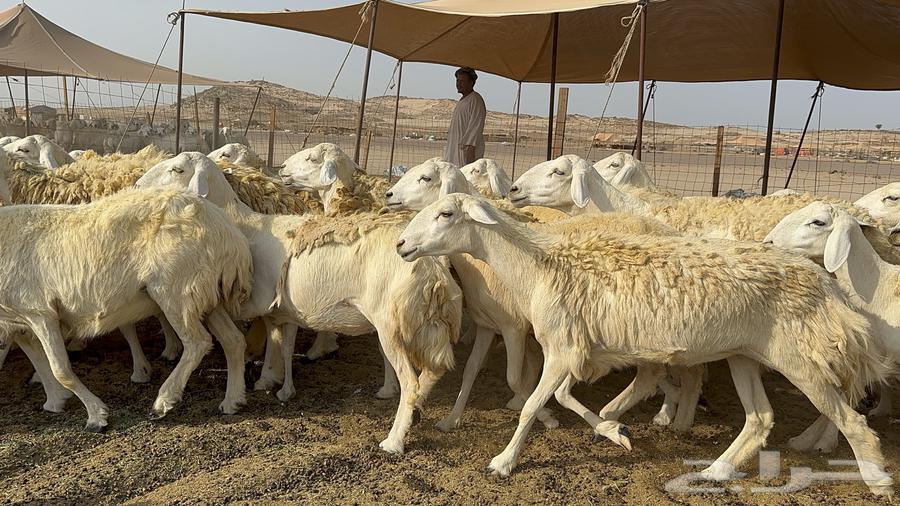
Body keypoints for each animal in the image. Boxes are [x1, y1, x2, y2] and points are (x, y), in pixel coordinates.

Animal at [0, 188, 253, 430]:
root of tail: (228, 233)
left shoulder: (39, 312)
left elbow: (60, 370)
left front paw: (97, 416)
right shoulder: (19, 322)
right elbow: (40, 362)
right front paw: (55, 401)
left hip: (176, 290)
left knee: (197, 342)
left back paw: (163, 401)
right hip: (206, 294)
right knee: (233, 340)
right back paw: (232, 401)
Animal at [135, 153, 463, 453]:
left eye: (177, 169)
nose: (137, 185)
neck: (246, 225)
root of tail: (432, 271)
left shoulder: (258, 301)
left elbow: (257, 338)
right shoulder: (284, 309)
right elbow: (280, 340)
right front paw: (274, 381)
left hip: (392, 324)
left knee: (412, 382)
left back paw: (394, 440)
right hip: (424, 325)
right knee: (435, 369)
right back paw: (412, 409)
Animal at [765, 202, 900, 451]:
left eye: (818, 222)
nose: (768, 241)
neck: (874, 288)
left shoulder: (868, 357)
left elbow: (845, 398)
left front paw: (824, 441)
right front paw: (805, 439)